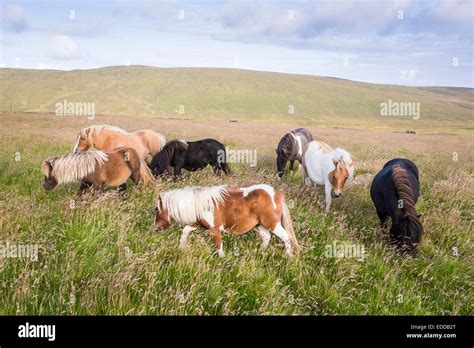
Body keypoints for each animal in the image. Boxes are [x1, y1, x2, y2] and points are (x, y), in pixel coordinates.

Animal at [152, 185, 300, 256]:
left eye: (157, 210)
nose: (156, 229)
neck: (199, 203)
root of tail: (277, 194)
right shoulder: (197, 224)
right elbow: (186, 230)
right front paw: (182, 247)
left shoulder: (215, 229)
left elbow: (219, 245)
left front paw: (222, 259)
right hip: (261, 225)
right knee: (266, 238)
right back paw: (260, 253)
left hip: (273, 224)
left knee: (287, 238)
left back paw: (287, 256)